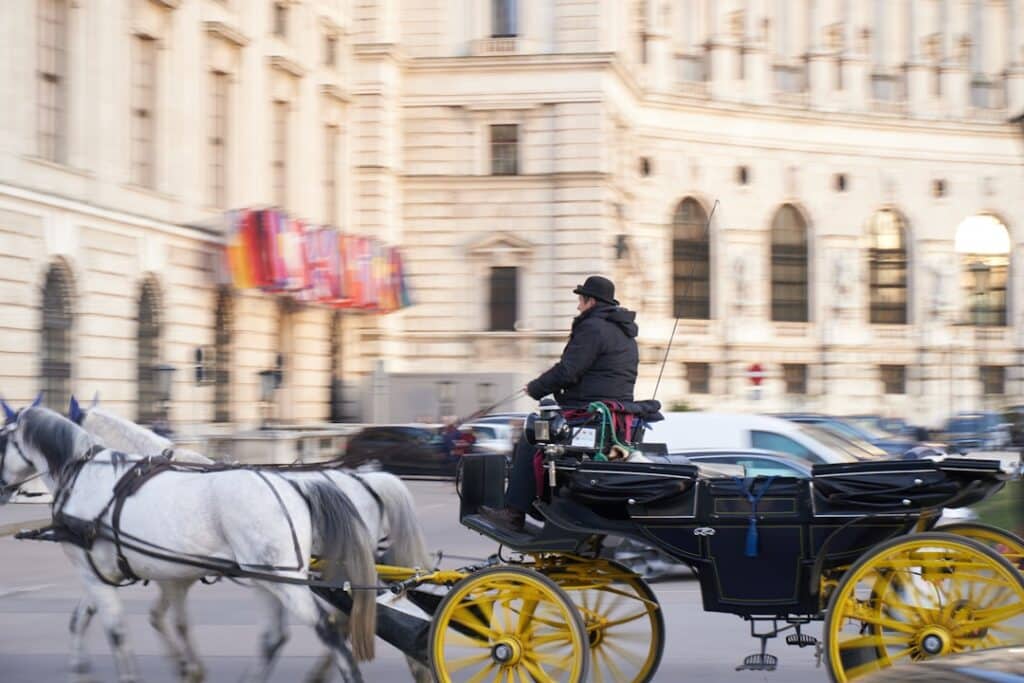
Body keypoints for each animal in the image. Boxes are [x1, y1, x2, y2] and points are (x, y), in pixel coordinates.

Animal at [1, 403, 376, 683]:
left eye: (2, 439)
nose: (3, 490)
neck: (85, 475)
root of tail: (296, 486)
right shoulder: (121, 573)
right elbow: (85, 618)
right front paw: (80, 668)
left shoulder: (97, 572)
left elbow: (119, 631)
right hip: (266, 578)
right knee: (274, 636)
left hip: (283, 580)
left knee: (328, 630)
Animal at [69, 395, 432, 683]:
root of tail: (367, 479)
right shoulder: (168, 573)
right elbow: (147, 615)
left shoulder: (167, 573)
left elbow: (157, 618)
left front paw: (187, 667)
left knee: (349, 619)